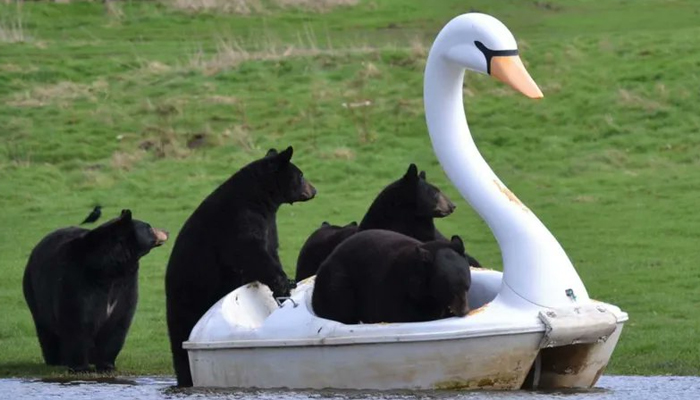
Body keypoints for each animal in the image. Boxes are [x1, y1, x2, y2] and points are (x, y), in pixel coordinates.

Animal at [21, 209, 168, 372]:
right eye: (149, 227)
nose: (166, 231)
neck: (110, 268)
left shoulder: (126, 286)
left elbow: (118, 322)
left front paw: (107, 365)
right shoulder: (77, 281)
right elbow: (77, 322)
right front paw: (80, 367)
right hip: (34, 291)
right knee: (45, 329)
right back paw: (56, 360)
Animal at [164, 147, 318, 388]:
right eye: (300, 175)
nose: (314, 190)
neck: (260, 198)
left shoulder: (268, 224)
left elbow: (270, 250)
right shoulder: (239, 220)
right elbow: (250, 253)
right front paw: (283, 284)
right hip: (188, 300)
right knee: (180, 344)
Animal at [314, 228, 474, 324]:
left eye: (467, 287)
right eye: (451, 291)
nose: (464, 311)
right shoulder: (399, 294)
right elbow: (407, 316)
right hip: (337, 283)